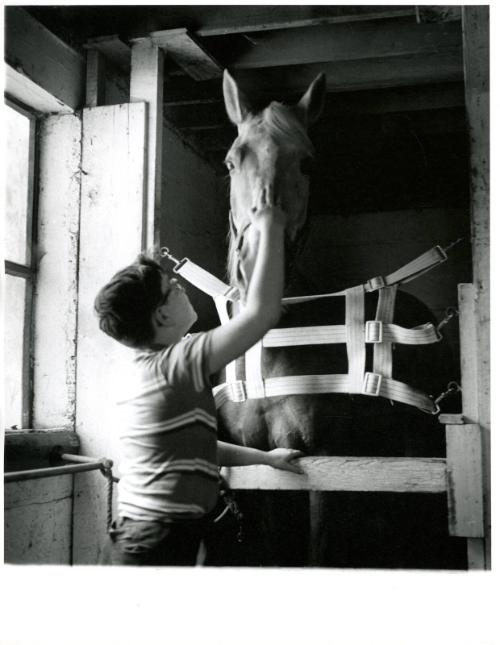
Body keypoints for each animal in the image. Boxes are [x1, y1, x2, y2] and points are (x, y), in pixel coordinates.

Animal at [204, 70, 468, 568]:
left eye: (307, 163)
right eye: (230, 162)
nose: (254, 266)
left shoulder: (327, 465)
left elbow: (320, 551)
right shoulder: (262, 471)